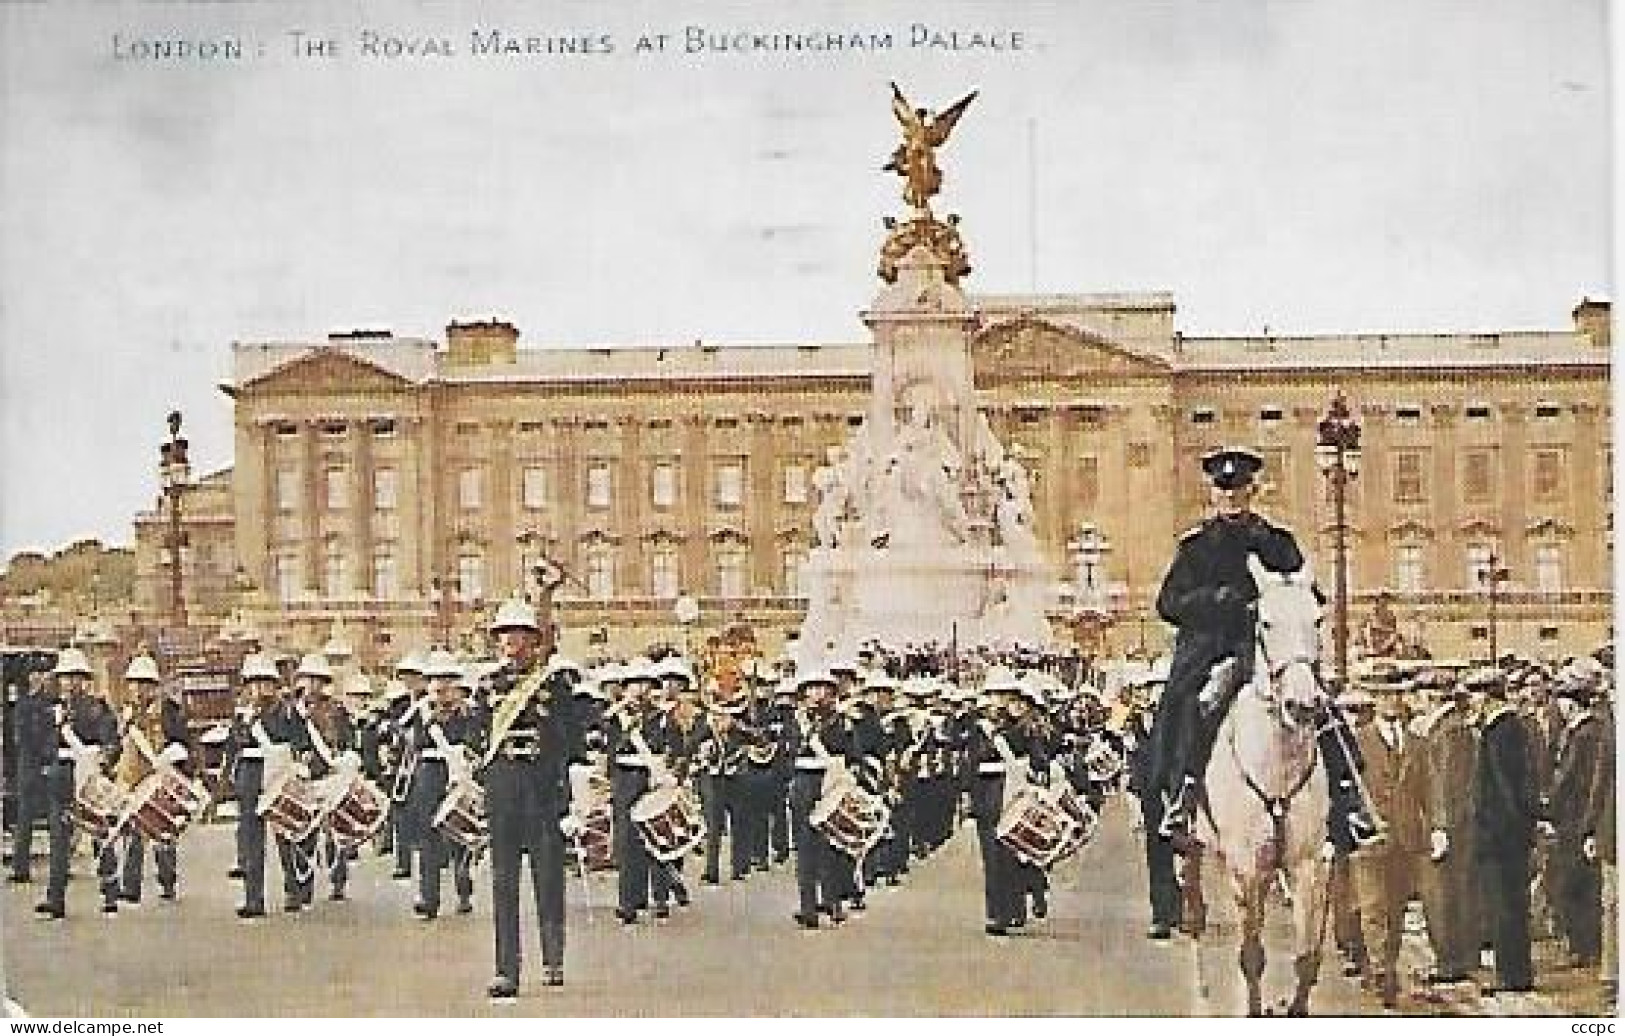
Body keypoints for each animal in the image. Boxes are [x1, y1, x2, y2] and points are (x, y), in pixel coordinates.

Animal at [1183, 555, 1332, 1019]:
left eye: (1317, 619)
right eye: (1264, 622)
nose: (1303, 706)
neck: (1276, 766)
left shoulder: (1306, 865)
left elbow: (1306, 958)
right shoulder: (1245, 867)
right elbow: (1250, 956)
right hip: (1193, 849)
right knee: (1195, 921)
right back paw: (1202, 1000)